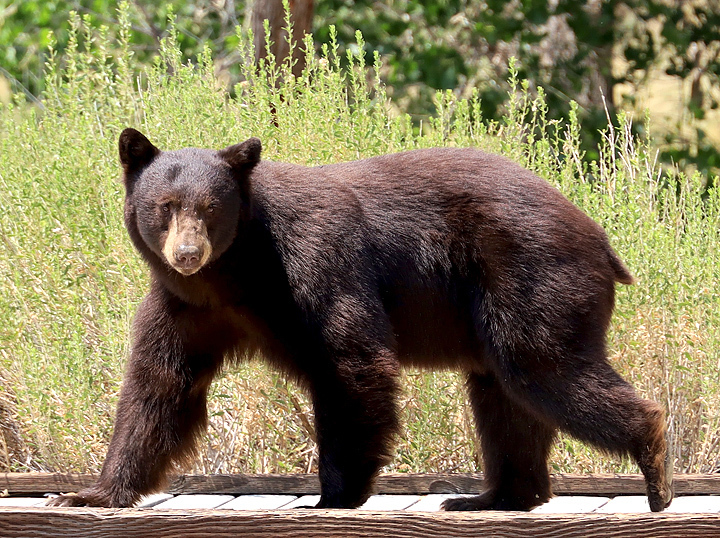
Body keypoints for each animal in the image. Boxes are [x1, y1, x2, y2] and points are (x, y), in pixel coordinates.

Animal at [47, 127, 672, 508]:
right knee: (505, 397)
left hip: (529, 275)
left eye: (210, 207)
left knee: (542, 367)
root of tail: (600, 238)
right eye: (165, 207)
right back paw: (491, 496)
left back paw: (655, 463)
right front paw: (89, 493)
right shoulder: (187, 309)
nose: (186, 253)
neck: (236, 272)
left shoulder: (313, 265)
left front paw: (334, 493)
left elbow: (350, 361)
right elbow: (159, 387)